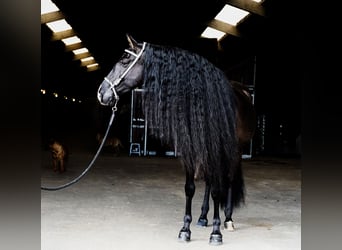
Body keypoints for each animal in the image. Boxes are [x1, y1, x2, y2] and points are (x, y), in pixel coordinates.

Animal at [97, 34, 255, 245]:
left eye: (124, 60)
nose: (101, 92)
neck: (203, 101)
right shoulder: (191, 149)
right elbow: (190, 188)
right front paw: (185, 229)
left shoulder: (216, 149)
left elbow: (217, 190)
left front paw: (216, 233)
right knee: (209, 182)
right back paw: (203, 218)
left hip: (234, 150)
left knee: (227, 180)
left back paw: (228, 220)